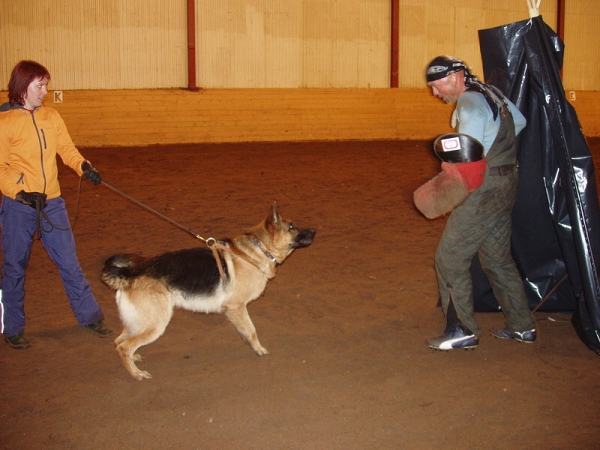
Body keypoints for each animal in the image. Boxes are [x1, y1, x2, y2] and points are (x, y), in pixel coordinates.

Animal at [99, 204, 314, 380]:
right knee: (124, 347)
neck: (258, 251)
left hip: (139, 322)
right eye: (292, 227)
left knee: (118, 342)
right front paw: (258, 349)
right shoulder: (236, 306)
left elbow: (244, 328)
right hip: (155, 325)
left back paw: (134, 359)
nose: (314, 230)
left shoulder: (235, 310)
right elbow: (252, 330)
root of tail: (129, 272)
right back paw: (136, 374)